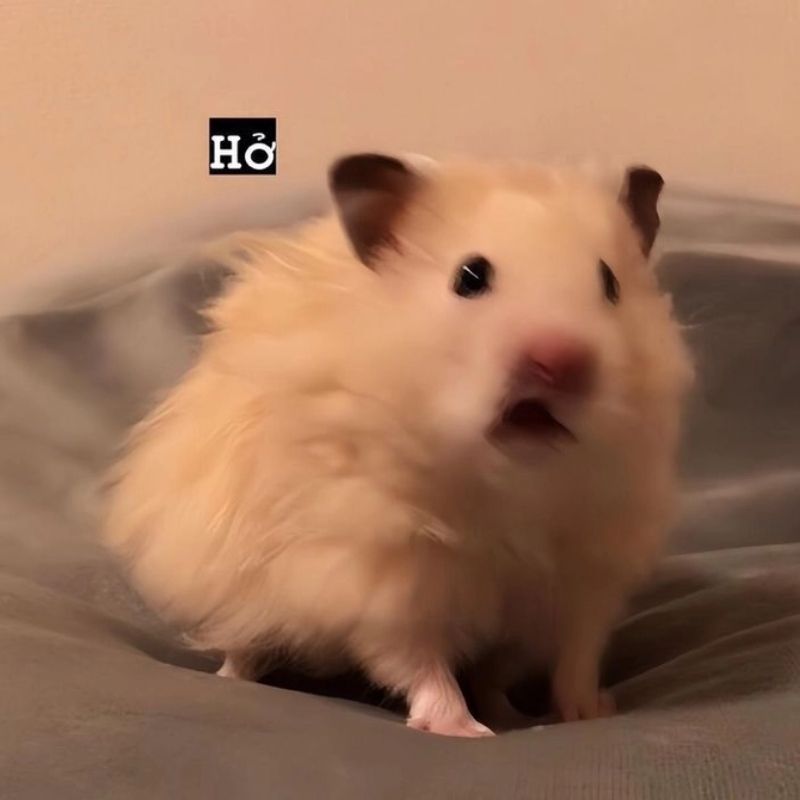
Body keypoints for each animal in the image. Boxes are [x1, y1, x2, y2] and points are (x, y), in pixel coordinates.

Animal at [104, 153, 692, 737]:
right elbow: (419, 663)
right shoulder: (383, 583)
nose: (560, 361)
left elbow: (572, 660)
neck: (513, 486)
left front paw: (588, 712)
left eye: (610, 283)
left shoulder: (583, 582)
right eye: (470, 276)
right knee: (243, 643)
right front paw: (464, 730)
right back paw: (232, 680)